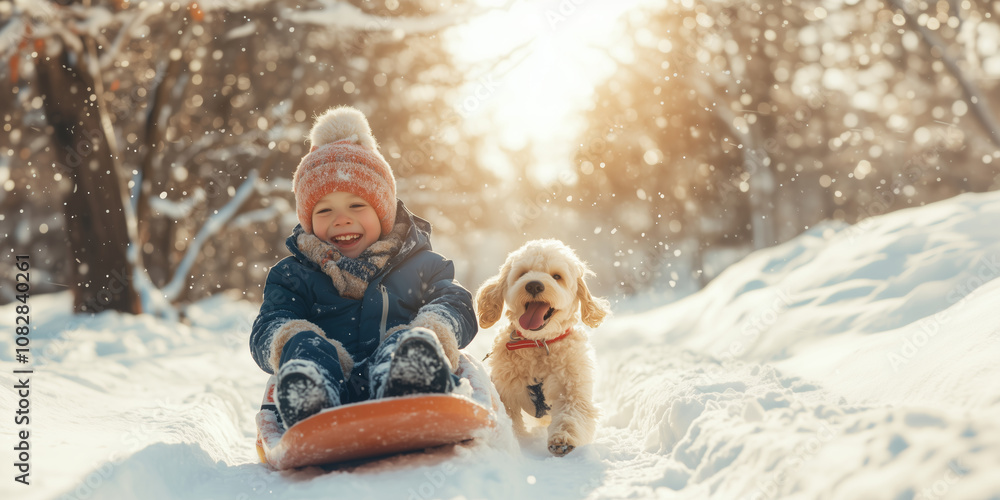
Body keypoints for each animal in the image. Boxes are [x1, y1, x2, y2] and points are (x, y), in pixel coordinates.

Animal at [476, 240, 608, 456]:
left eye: (557, 276)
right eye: (522, 273)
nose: (534, 284)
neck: (538, 343)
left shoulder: (572, 390)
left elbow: (571, 415)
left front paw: (562, 439)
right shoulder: (506, 392)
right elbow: (512, 419)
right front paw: (519, 442)